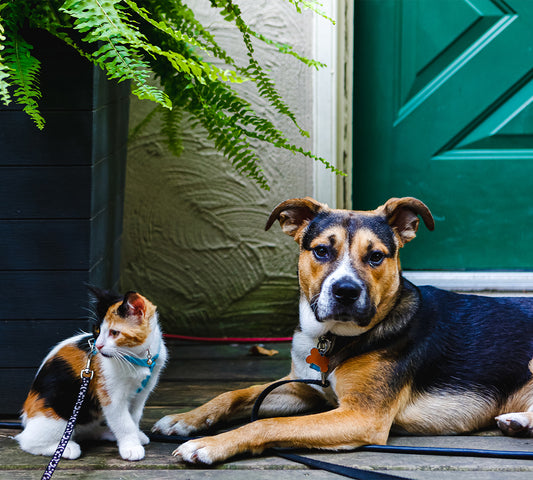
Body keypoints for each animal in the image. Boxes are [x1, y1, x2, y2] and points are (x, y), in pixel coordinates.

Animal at [15, 288, 166, 462]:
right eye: (97, 330)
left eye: (114, 333)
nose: (98, 346)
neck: (138, 358)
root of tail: (26, 416)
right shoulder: (110, 396)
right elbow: (124, 422)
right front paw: (131, 447)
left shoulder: (142, 393)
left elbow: (134, 416)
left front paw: (136, 436)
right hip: (60, 410)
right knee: (27, 440)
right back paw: (66, 448)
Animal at [153, 197, 532, 464]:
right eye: (321, 250)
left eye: (376, 256)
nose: (346, 291)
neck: (334, 337)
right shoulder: (302, 389)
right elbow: (234, 394)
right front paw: (185, 419)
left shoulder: (361, 416)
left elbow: (266, 424)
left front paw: (210, 444)